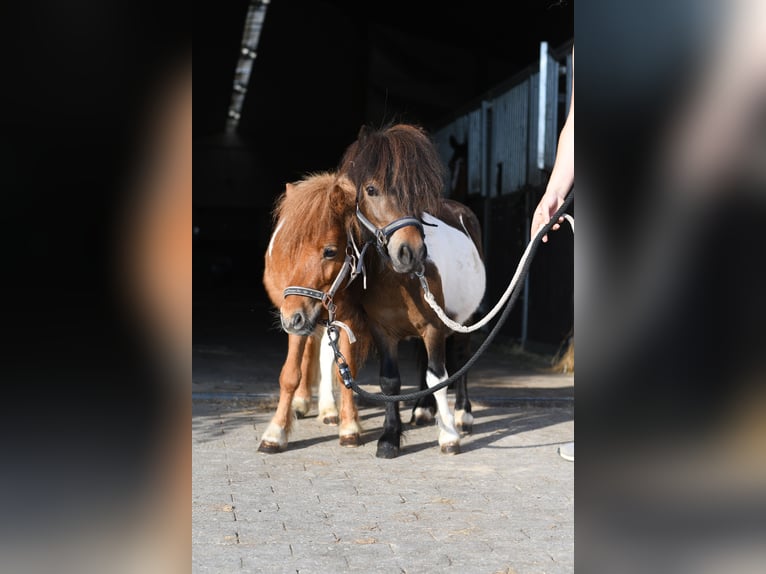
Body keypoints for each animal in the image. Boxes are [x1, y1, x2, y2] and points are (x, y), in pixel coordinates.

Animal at [336, 123, 486, 457]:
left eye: (417, 194)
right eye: (371, 189)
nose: (410, 253)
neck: (396, 281)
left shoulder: (433, 327)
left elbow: (439, 375)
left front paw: (449, 436)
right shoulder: (383, 331)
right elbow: (390, 381)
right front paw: (389, 437)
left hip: (467, 318)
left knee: (463, 358)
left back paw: (464, 414)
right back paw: (422, 409)